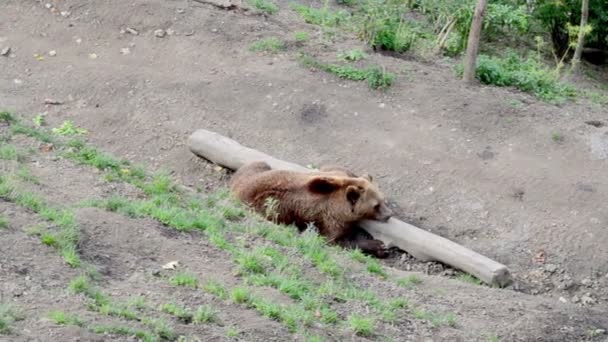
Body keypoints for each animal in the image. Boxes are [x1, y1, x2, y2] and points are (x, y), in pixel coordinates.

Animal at [229, 162, 394, 258]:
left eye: (383, 199)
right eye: (376, 205)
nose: (389, 215)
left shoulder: (336, 175)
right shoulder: (331, 218)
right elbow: (335, 240)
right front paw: (379, 246)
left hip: (256, 169)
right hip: (268, 205)